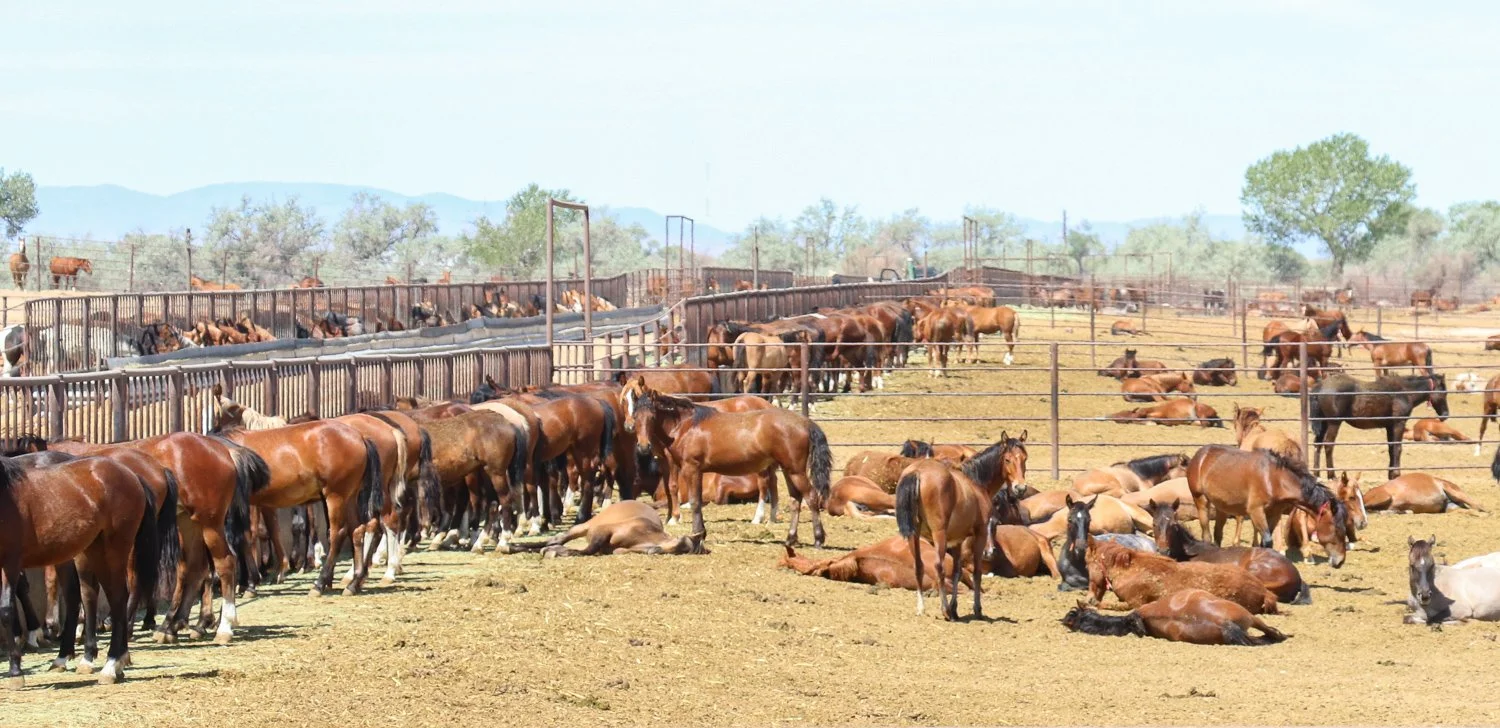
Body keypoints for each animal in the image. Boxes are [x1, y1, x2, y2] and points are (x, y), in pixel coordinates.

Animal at [0, 455, 168, 686]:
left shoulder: (11, 563)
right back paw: (111, 662)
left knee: (117, 598)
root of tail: (131, 475)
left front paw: (16, 672)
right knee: (98, 596)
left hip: (114, 550)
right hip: (92, 551)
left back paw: (110, 665)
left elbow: (7, 610)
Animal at [623, 378, 830, 547]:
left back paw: (818, 539)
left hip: (795, 471)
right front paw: (701, 532)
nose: (643, 447)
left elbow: (695, 501)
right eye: (635, 415)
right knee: (795, 499)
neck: (686, 425)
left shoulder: (691, 468)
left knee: (811, 497)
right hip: (788, 470)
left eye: (652, 416)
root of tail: (805, 423)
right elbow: (696, 500)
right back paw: (790, 539)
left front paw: (696, 534)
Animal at [895, 433, 1029, 619]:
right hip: (939, 535)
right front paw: (976, 609)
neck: (975, 482)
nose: (1020, 488)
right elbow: (977, 572)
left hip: (913, 535)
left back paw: (922, 608)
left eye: (1024, 458)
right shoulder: (980, 534)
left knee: (918, 566)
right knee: (939, 567)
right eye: (1007, 459)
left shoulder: (957, 540)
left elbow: (957, 572)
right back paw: (945, 610)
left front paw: (955, 608)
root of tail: (918, 472)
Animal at [1186, 446, 1349, 567]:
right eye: (1336, 528)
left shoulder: (1274, 514)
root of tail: (1200, 455)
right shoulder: (1256, 511)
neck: (1273, 479)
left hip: (1221, 507)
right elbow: (1268, 540)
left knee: (1218, 534)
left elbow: (1265, 542)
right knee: (1206, 535)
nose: (1341, 561)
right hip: (1200, 500)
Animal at [1308, 373, 1449, 480]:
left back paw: (1317, 474)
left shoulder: (1389, 426)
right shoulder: (1399, 423)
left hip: (1323, 423)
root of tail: (1320, 386)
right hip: (1334, 423)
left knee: (1317, 445)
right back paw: (1332, 475)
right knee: (1328, 445)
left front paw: (1391, 475)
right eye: (1444, 392)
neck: (1404, 392)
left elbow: (1391, 448)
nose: (1445, 415)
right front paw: (1396, 474)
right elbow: (1398, 448)